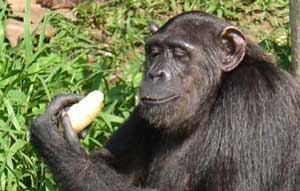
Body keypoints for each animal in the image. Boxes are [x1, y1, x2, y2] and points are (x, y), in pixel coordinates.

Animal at [31, 11, 300, 190]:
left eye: (180, 55)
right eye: (154, 52)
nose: (155, 74)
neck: (212, 99)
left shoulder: (256, 100)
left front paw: (60, 145)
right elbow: (119, 170)